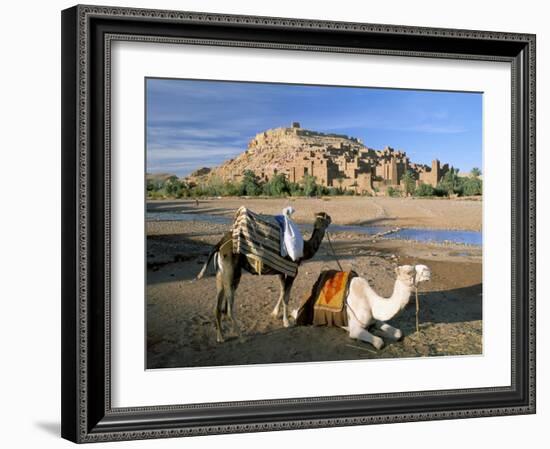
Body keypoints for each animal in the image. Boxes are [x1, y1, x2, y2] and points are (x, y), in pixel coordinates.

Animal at [198, 212, 332, 342]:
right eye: (326, 218)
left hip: (221, 274)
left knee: (217, 306)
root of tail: (219, 245)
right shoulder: (293, 271)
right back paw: (242, 337)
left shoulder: (280, 271)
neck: (304, 249)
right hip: (231, 273)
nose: (331, 219)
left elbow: (282, 291)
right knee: (228, 309)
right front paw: (286, 322)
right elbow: (286, 296)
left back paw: (220, 337)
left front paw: (275, 313)